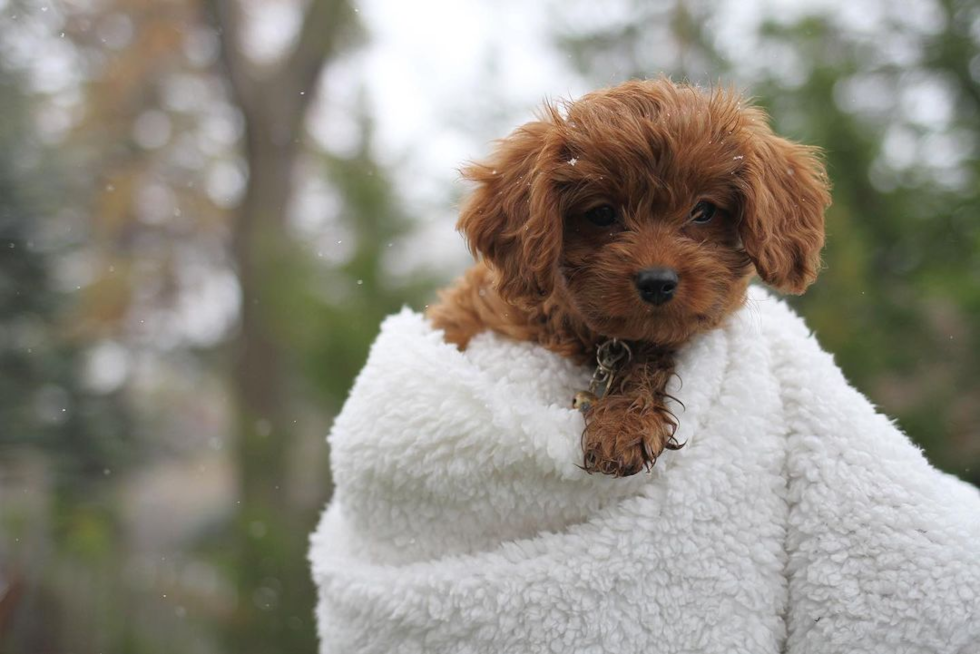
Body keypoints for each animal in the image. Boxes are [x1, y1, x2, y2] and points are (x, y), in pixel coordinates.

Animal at [424, 79, 832, 480]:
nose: (657, 282)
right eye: (602, 213)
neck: (600, 341)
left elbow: (650, 359)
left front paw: (622, 425)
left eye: (704, 211)